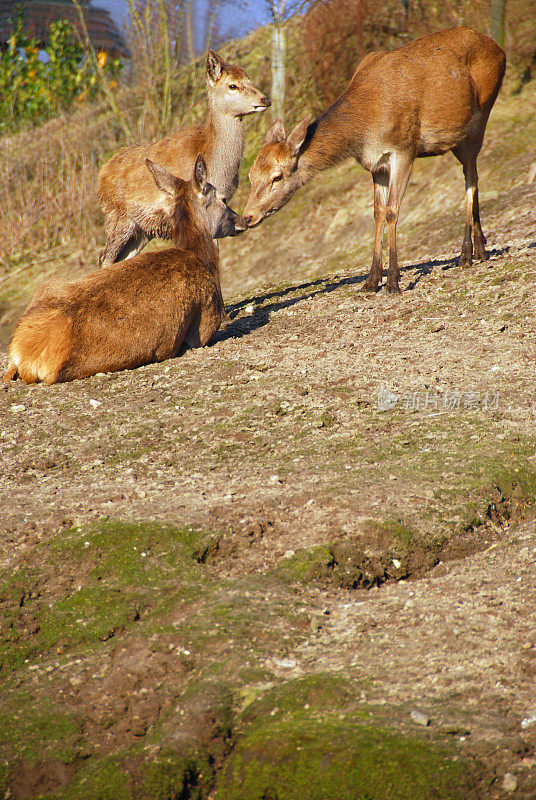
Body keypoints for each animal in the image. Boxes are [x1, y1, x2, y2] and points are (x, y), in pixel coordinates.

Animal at [3, 155, 246, 386]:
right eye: (223, 199)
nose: (243, 221)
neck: (201, 258)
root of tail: (20, 352)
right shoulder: (204, 325)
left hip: (48, 285)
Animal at [97, 49, 268, 268]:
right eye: (233, 85)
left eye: (250, 80)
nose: (265, 99)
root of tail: (101, 176)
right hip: (117, 218)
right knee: (105, 258)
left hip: (143, 230)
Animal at [243, 25, 506, 296]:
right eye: (250, 176)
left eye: (277, 177)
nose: (246, 217)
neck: (365, 128)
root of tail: (497, 46)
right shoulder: (375, 164)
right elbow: (377, 212)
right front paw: (372, 280)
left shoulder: (404, 149)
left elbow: (392, 210)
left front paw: (393, 282)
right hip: (457, 138)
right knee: (471, 174)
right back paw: (481, 248)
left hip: (480, 117)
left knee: (471, 177)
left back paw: (466, 253)